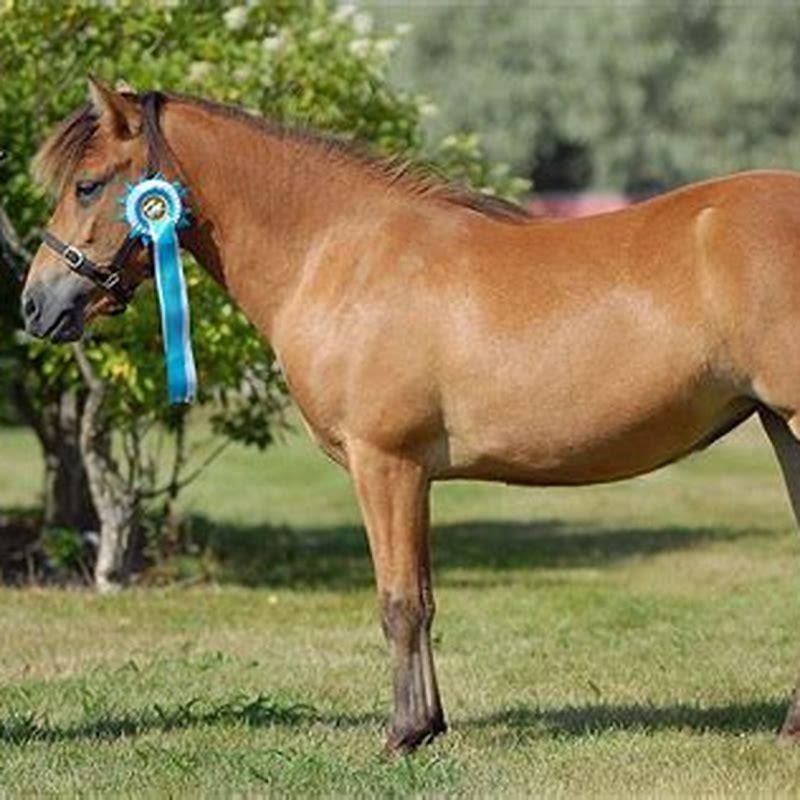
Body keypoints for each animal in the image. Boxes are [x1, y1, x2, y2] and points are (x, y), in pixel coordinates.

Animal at [20, 78, 800, 753]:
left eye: (88, 184)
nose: (35, 304)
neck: (340, 253)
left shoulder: (384, 463)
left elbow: (399, 602)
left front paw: (403, 734)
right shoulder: (412, 475)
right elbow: (421, 595)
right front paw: (429, 724)